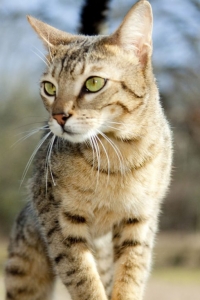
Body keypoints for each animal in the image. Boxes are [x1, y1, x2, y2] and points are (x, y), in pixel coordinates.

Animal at [4, 0, 172, 300]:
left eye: (94, 83)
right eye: (49, 87)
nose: (59, 117)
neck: (117, 155)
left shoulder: (140, 221)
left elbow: (131, 276)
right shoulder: (59, 222)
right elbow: (83, 279)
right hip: (24, 270)